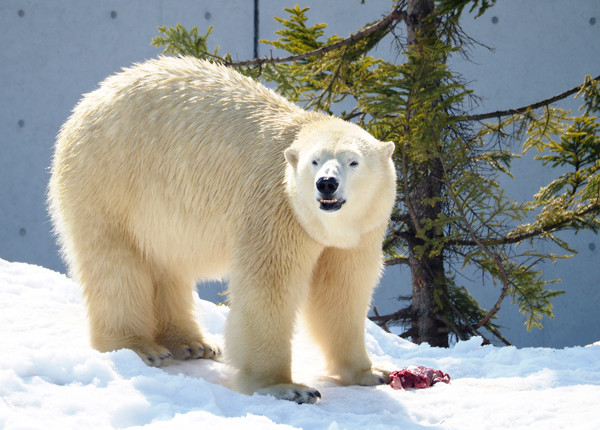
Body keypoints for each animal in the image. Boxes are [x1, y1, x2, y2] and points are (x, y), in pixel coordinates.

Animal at [49, 56, 396, 404]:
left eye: (353, 161)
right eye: (315, 161)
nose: (326, 184)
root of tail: (90, 100)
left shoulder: (360, 234)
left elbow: (342, 290)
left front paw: (372, 372)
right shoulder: (276, 210)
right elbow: (269, 288)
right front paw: (286, 387)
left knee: (164, 264)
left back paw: (192, 343)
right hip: (108, 182)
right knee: (115, 266)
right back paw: (140, 347)